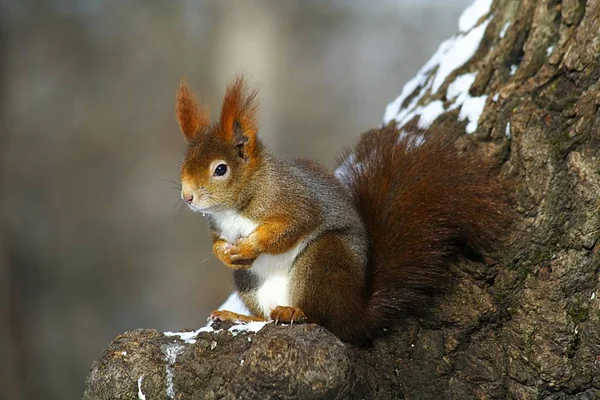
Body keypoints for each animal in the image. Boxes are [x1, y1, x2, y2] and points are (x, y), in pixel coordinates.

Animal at [176, 76, 508, 346]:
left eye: (220, 169)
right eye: (184, 164)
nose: (187, 197)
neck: (235, 206)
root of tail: (355, 314)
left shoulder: (295, 201)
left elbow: (291, 226)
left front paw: (249, 246)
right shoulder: (218, 225)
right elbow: (216, 243)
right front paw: (224, 254)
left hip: (324, 259)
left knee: (323, 319)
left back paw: (294, 311)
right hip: (249, 282)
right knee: (267, 316)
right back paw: (242, 317)